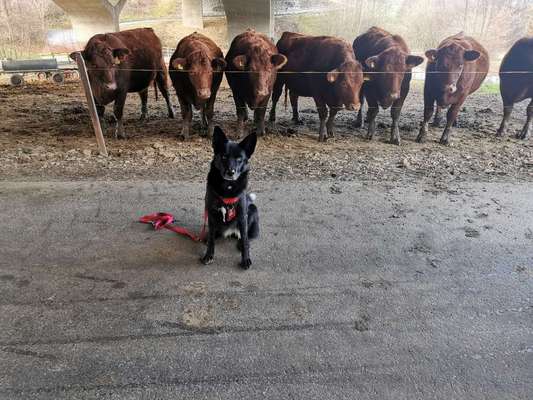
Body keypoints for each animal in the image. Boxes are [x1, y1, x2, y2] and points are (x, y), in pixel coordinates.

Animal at [201, 126, 258, 268]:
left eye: (239, 159)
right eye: (224, 156)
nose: (230, 172)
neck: (228, 187)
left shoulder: (243, 216)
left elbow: (245, 239)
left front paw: (245, 258)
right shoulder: (211, 214)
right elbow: (211, 240)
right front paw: (208, 255)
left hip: (252, 210)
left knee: (246, 236)